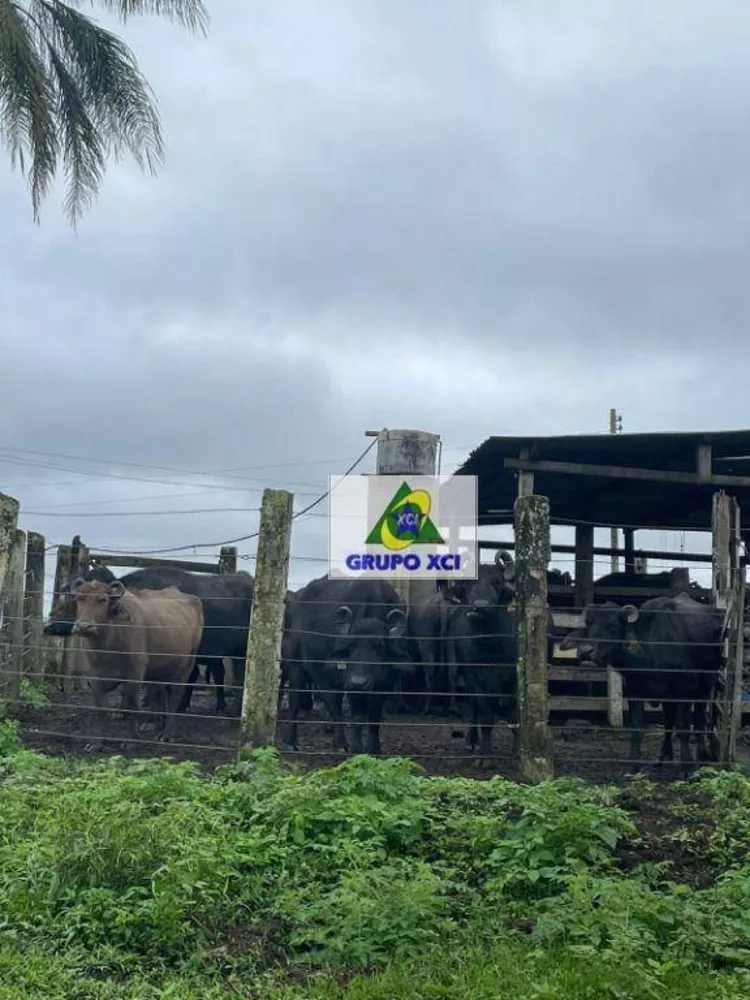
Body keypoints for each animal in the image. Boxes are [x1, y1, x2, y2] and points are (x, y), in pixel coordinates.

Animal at [70, 580, 203, 744]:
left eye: (103, 600)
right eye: (79, 598)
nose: (84, 627)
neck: (107, 647)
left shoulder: (134, 676)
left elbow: (132, 706)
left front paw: (131, 741)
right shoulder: (94, 678)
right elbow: (99, 709)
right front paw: (96, 744)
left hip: (185, 666)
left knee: (174, 696)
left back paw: (167, 734)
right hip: (159, 669)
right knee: (157, 692)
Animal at [284, 576, 412, 752]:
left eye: (380, 645)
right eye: (351, 645)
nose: (359, 682)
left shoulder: (386, 683)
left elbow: (374, 716)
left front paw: (374, 748)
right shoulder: (348, 682)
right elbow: (357, 715)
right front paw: (357, 747)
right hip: (298, 665)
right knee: (301, 699)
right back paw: (296, 741)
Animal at [560, 592, 724, 772]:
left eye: (613, 625)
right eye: (589, 625)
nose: (585, 651)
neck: (651, 649)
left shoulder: (684, 692)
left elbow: (683, 728)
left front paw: (687, 767)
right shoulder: (635, 692)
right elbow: (637, 728)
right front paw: (633, 764)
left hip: (706, 686)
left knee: (700, 720)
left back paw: (701, 756)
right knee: (669, 721)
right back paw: (664, 756)